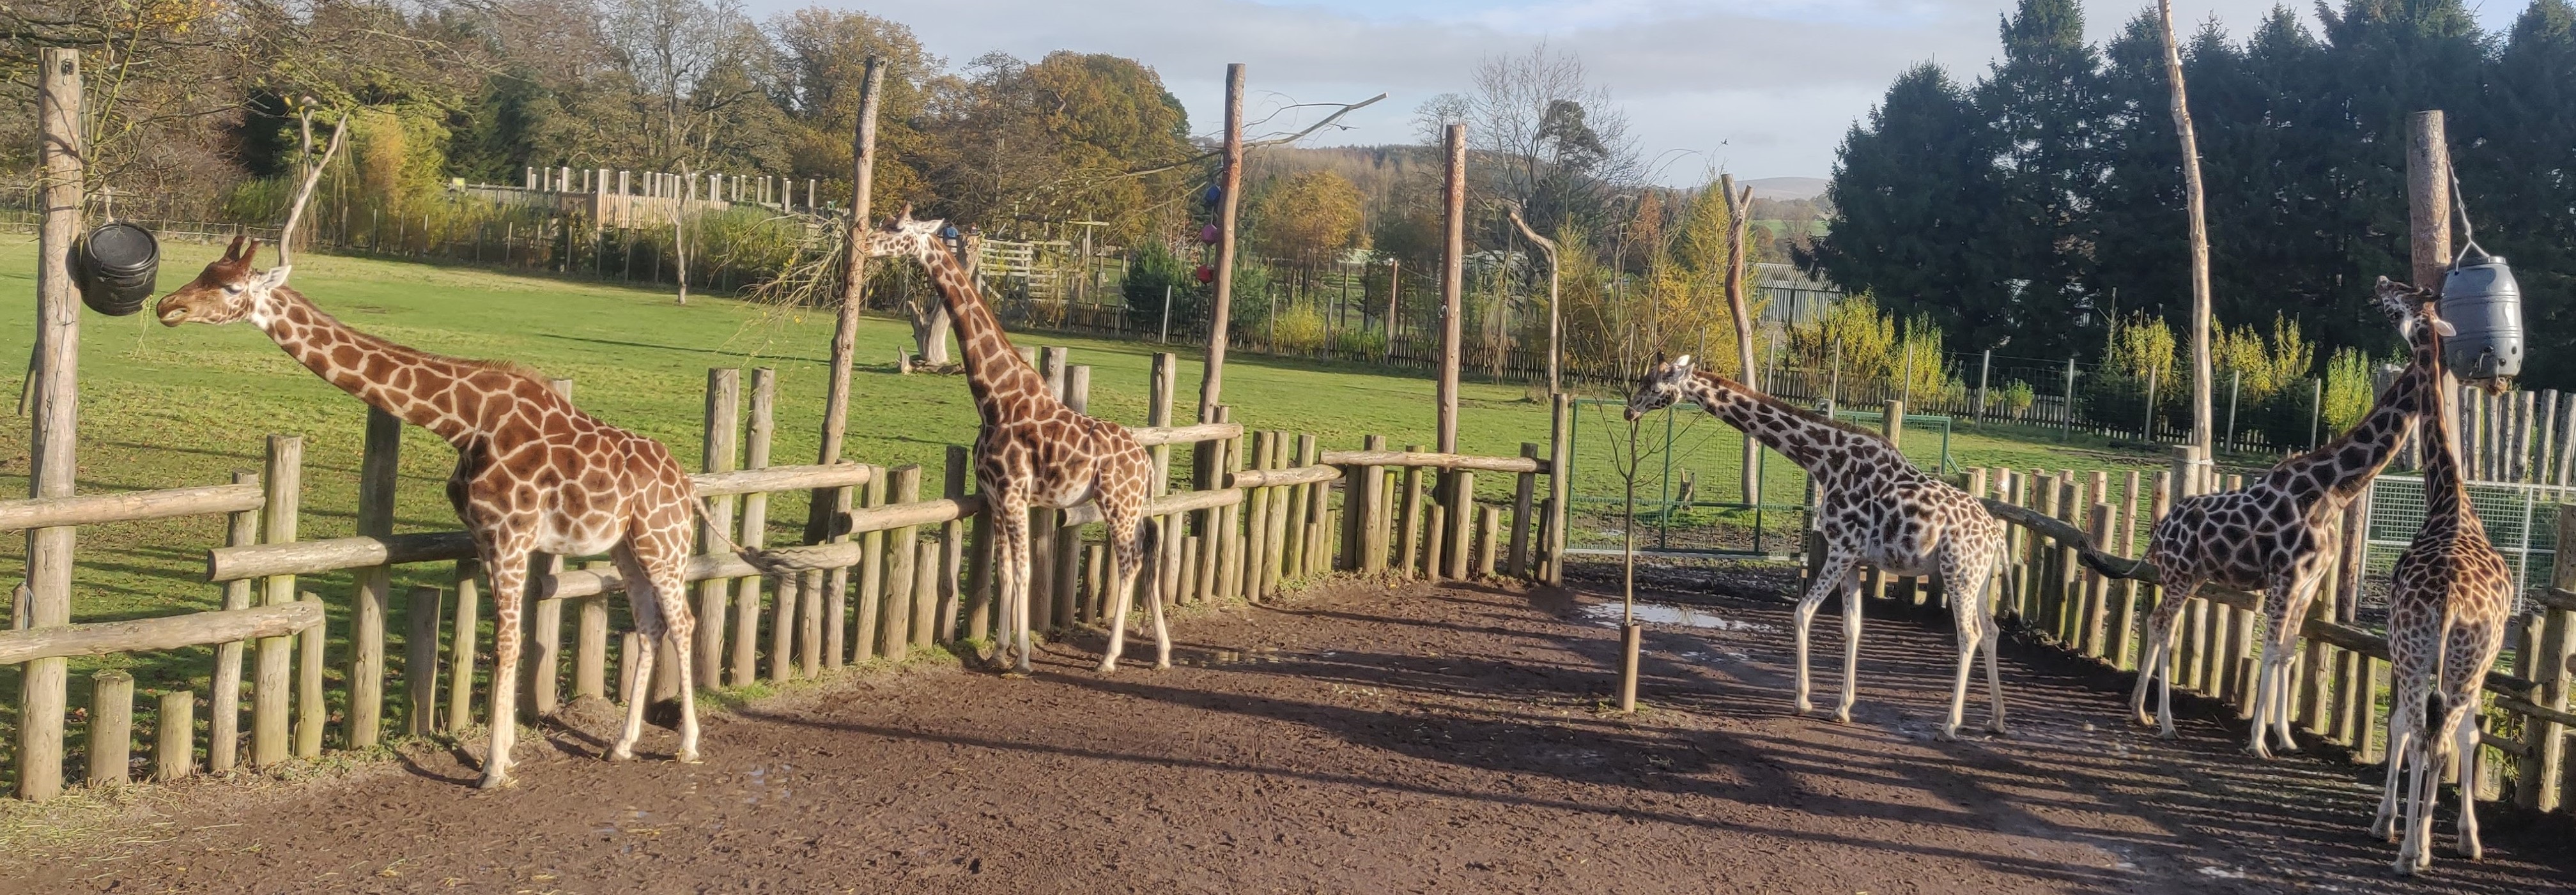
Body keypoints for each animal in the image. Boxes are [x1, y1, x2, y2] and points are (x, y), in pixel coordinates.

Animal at [159, 239, 741, 792]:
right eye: (206, 273)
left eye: (231, 288)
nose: (169, 306)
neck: (463, 421)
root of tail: (686, 483)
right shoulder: (485, 537)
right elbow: (500, 642)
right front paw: (504, 755)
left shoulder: (511, 534)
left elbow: (508, 645)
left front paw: (492, 769)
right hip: (626, 545)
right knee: (649, 624)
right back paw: (621, 744)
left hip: (663, 541)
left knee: (683, 621)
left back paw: (688, 744)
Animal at [865, 208, 1169, 668]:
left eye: (898, 229)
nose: (864, 241)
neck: (993, 398)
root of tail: (1147, 463)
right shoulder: (994, 497)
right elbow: (1005, 571)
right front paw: (998, 652)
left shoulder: (1013, 493)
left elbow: (1025, 571)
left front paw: (1023, 656)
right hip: (1131, 507)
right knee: (1147, 556)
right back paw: (1162, 653)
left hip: (1118, 503)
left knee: (1129, 563)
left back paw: (1109, 657)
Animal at [1628, 357, 2009, 740]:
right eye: (1643, 381)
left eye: (1655, 387)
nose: (1630, 410)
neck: (1825, 462)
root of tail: (1996, 536)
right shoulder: (1854, 558)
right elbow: (1853, 627)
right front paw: (1842, 709)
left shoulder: (1842, 547)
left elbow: (1802, 612)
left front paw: (1803, 700)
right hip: (1977, 579)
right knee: (1991, 631)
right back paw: (1996, 719)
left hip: (1958, 573)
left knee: (1969, 634)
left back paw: (1951, 724)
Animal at [2133, 276, 2432, 751]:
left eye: (2400, 292)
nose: (2380, 284)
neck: (2332, 490)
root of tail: (2159, 531)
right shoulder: (2284, 576)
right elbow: (2271, 650)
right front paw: (2257, 740)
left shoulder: (2307, 582)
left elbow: (2288, 652)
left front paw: (2285, 737)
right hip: (2179, 574)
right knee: (2163, 624)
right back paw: (2162, 720)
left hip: (2192, 574)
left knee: (2160, 621)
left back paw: (2140, 710)